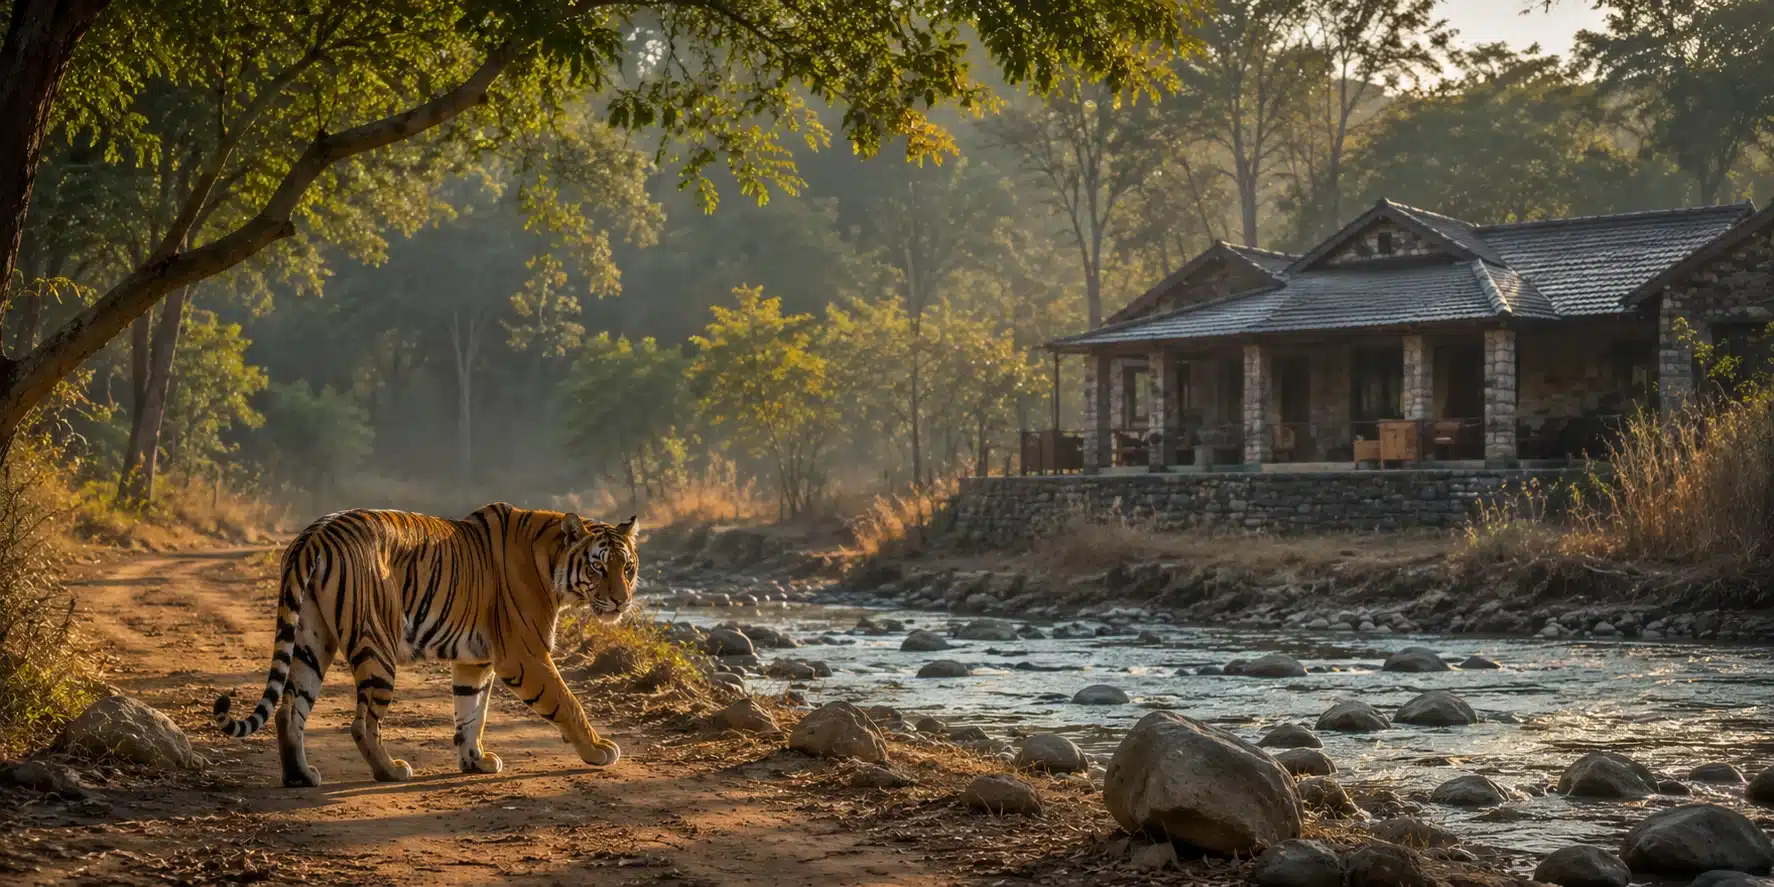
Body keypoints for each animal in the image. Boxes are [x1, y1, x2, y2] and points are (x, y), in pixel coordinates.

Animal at [212, 502, 639, 787]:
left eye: (628, 567)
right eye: (599, 566)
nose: (622, 600)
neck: (552, 565)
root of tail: (315, 534)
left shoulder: (474, 660)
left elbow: (471, 711)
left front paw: (475, 760)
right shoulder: (525, 654)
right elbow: (568, 702)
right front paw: (598, 750)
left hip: (310, 640)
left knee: (289, 709)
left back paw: (299, 775)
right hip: (376, 646)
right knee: (362, 723)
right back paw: (390, 770)